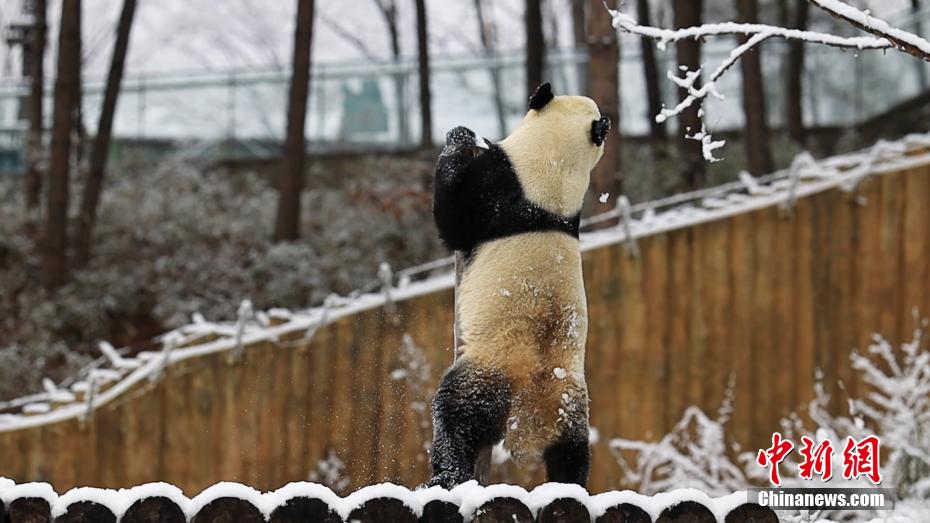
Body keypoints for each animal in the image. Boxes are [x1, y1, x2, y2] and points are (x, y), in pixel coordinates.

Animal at [426, 84, 608, 490]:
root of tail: (530, 403)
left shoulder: (498, 188)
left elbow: (451, 215)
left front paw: (461, 137)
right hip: (571, 404)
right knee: (572, 453)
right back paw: (568, 484)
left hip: (489, 371)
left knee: (457, 414)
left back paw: (448, 475)